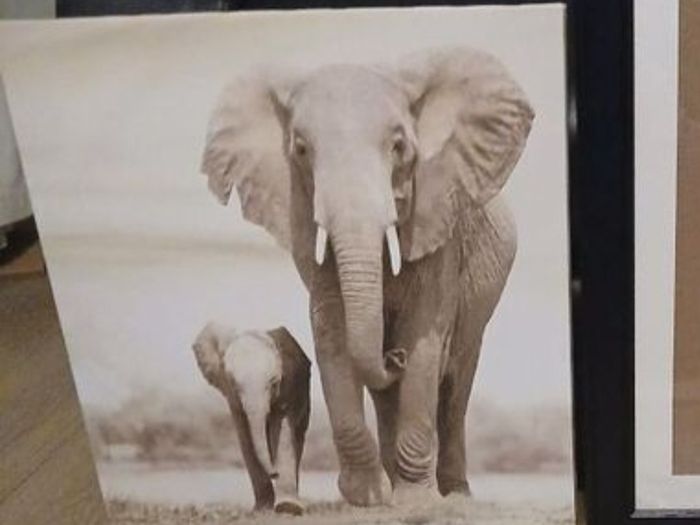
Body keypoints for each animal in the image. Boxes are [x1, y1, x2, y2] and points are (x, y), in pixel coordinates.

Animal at [192, 322, 311, 514]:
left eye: (274, 382)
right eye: (233, 383)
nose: (274, 473)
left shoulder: (289, 386)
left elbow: (283, 431)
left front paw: (288, 508)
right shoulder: (233, 400)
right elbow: (245, 435)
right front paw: (262, 509)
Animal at [200, 47, 534, 507]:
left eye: (398, 146)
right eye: (300, 149)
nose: (392, 356)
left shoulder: (438, 223)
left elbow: (424, 339)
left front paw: (416, 503)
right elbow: (332, 335)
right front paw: (368, 498)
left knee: (455, 386)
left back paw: (456, 496)